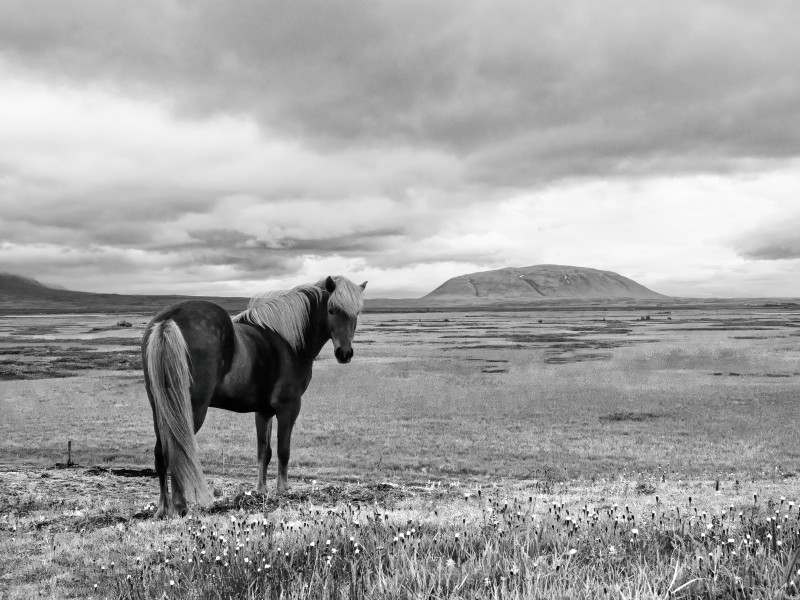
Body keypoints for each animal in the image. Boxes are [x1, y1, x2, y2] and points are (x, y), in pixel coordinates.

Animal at [142, 276, 368, 516]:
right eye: (332, 310)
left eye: (356, 313)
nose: (345, 353)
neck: (286, 340)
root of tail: (169, 320)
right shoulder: (289, 407)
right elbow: (283, 450)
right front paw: (283, 489)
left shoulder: (263, 411)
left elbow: (264, 451)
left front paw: (261, 490)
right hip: (190, 410)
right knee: (178, 449)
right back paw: (180, 506)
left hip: (161, 410)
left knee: (161, 452)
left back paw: (163, 508)